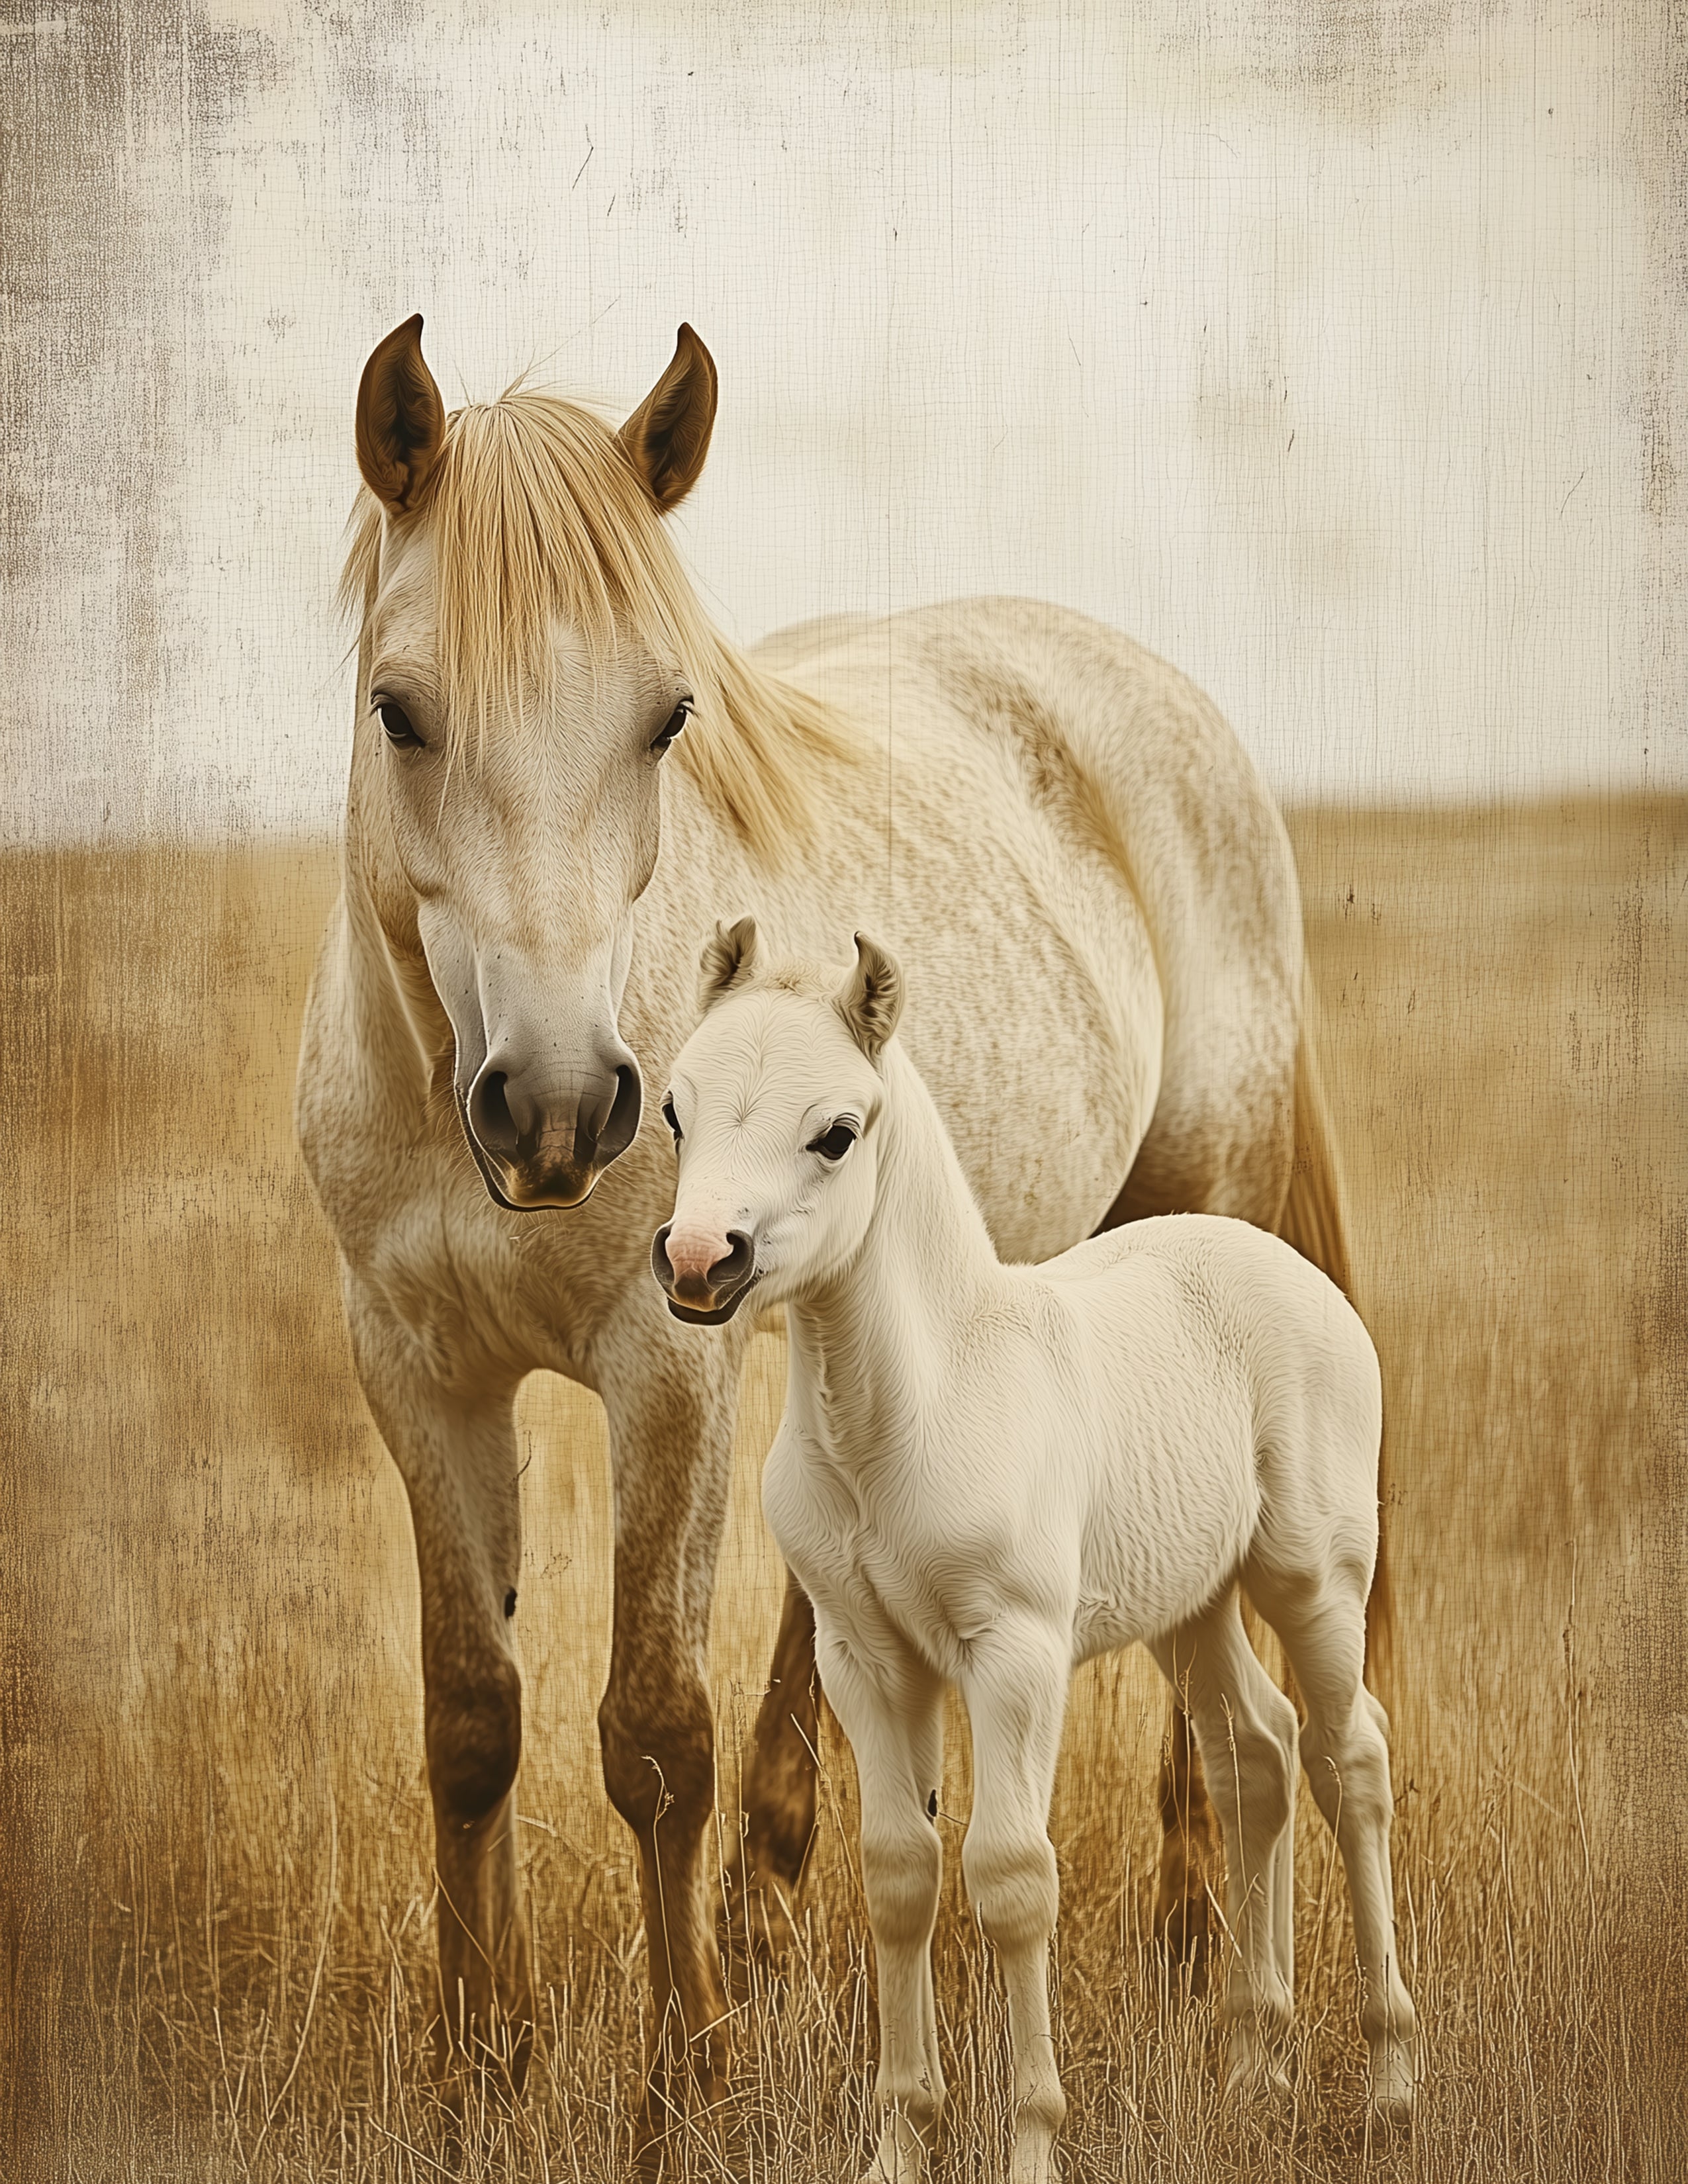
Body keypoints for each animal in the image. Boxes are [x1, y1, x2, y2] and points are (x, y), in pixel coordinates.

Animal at [653, 922, 1417, 2183]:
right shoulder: (866, 1661)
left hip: (1312, 1579)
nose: (698, 1260)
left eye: (835, 1132)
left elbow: (1011, 1879)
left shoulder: (1013, 1655)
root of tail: (1280, 1264)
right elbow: (899, 1875)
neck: (913, 1407)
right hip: (1187, 1604)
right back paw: (1255, 2070)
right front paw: (899, 2144)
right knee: (1255, 1751)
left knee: (1348, 1758)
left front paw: (1029, 2144)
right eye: (674, 1109)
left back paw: (1392, 2083)